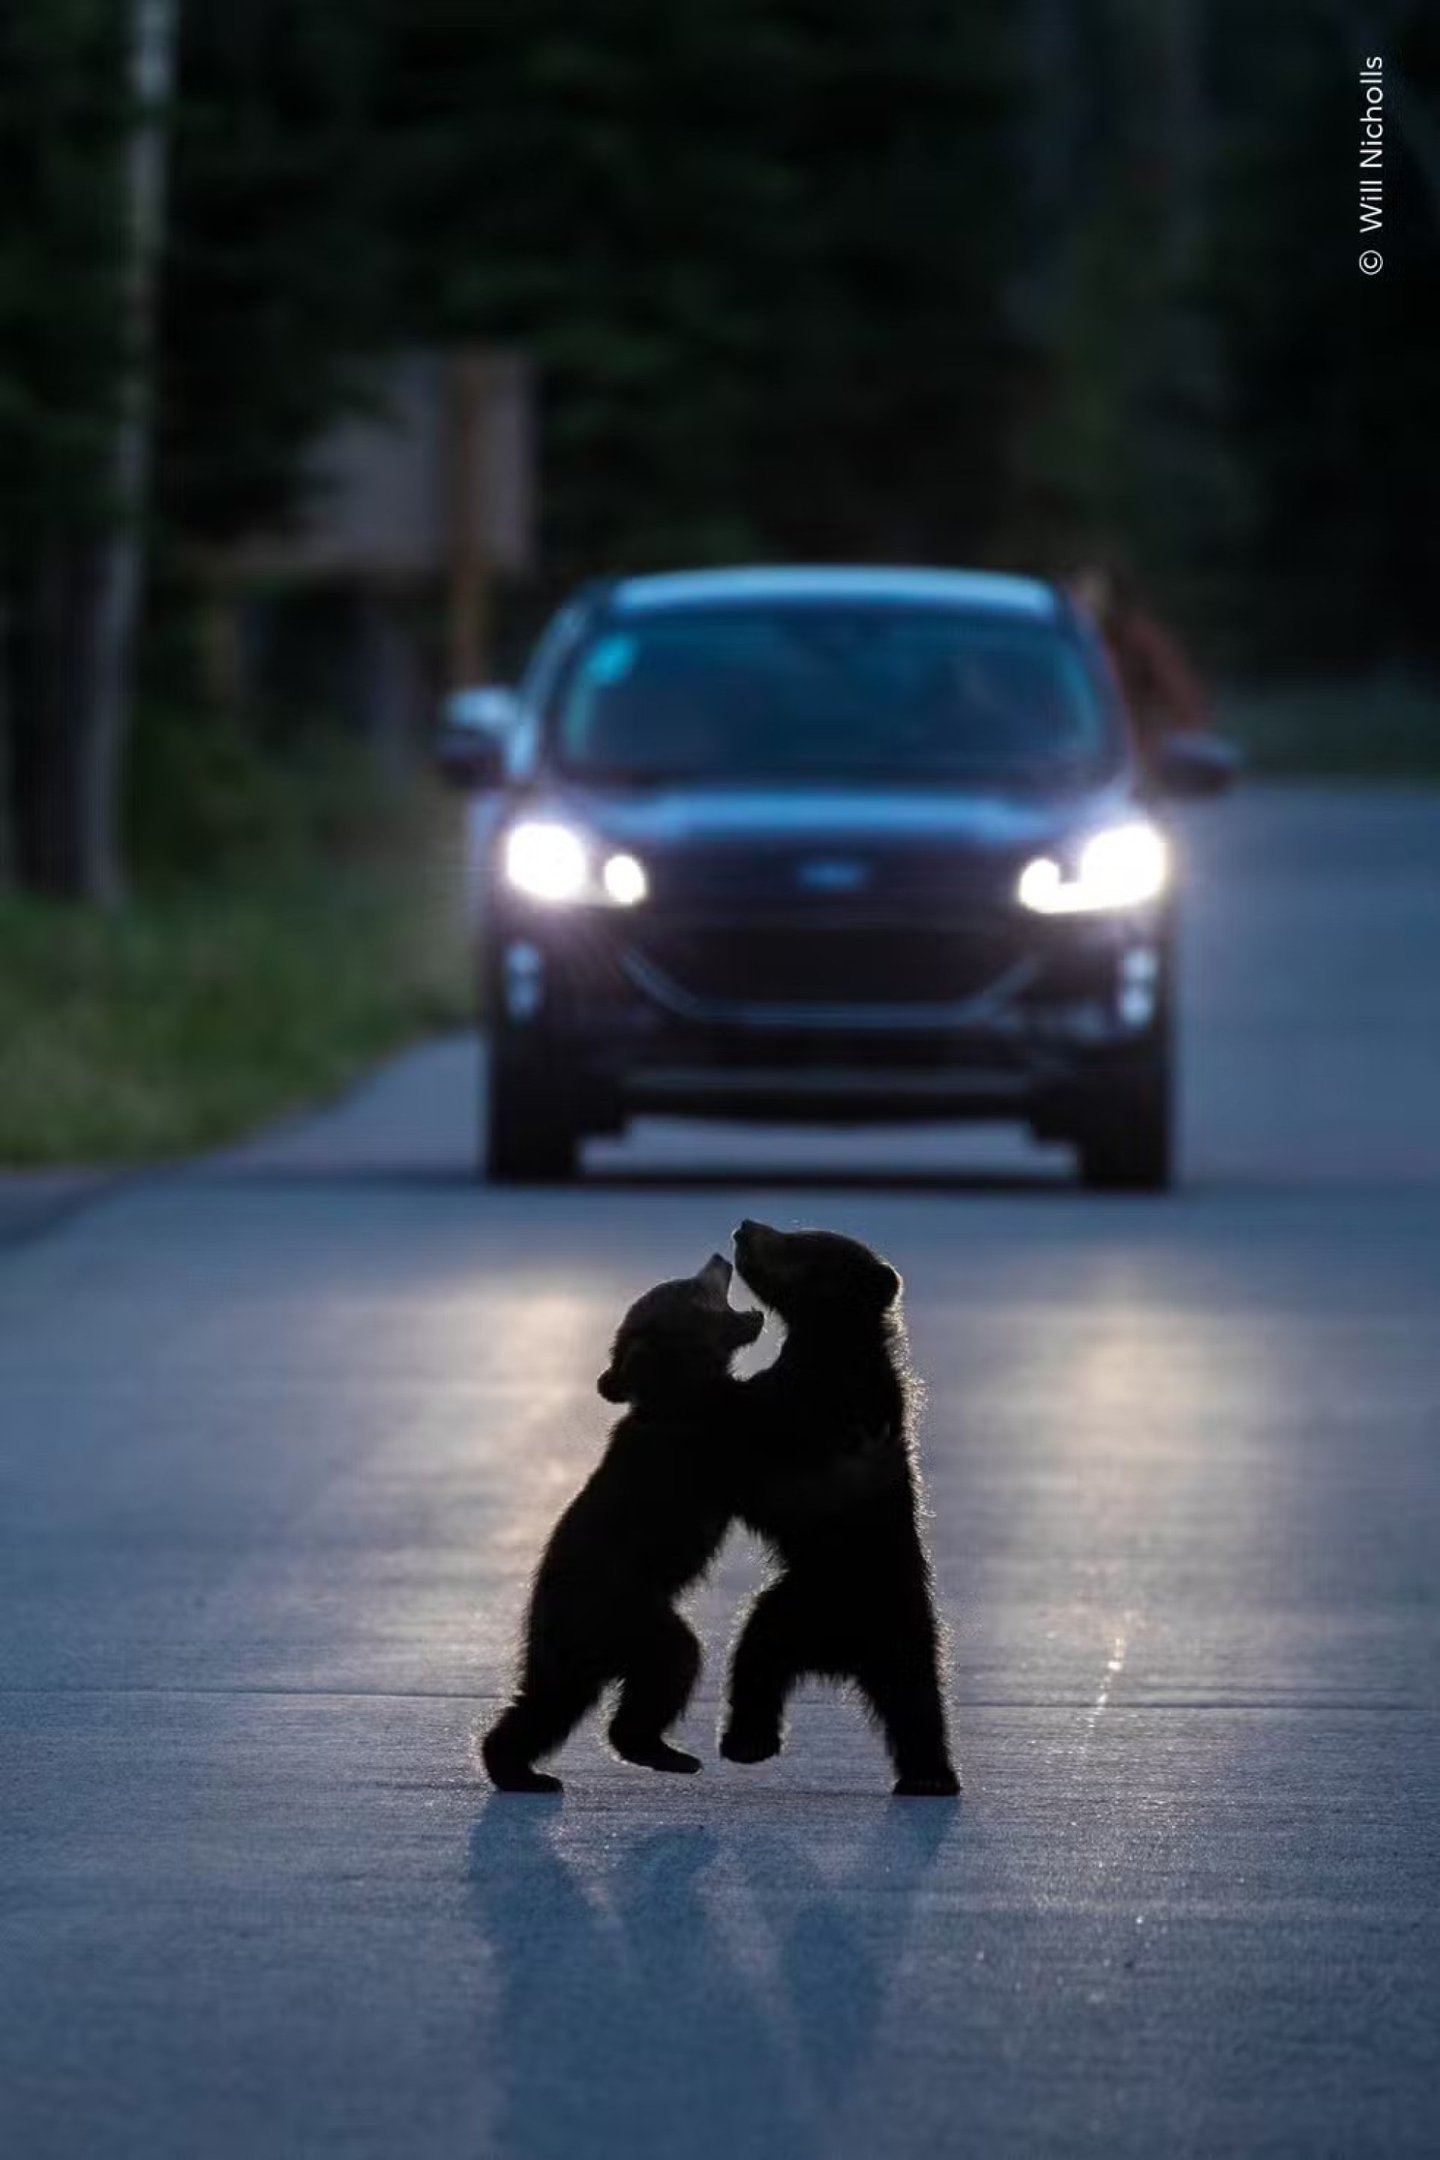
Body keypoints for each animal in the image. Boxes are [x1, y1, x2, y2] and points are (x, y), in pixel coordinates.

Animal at [482, 1253, 763, 1794]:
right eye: (690, 1288)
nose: (719, 1258)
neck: (677, 1389)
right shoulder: (701, 1442)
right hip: (630, 1615)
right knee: (673, 1662)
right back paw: (658, 1751)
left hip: (577, 1648)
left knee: (547, 1703)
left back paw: (522, 1768)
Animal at [720, 1221, 960, 1797]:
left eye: (801, 1241)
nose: (746, 1227)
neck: (832, 1344)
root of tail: (845, 1654)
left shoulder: (818, 1403)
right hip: (846, 1620)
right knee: (916, 1706)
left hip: (841, 1610)